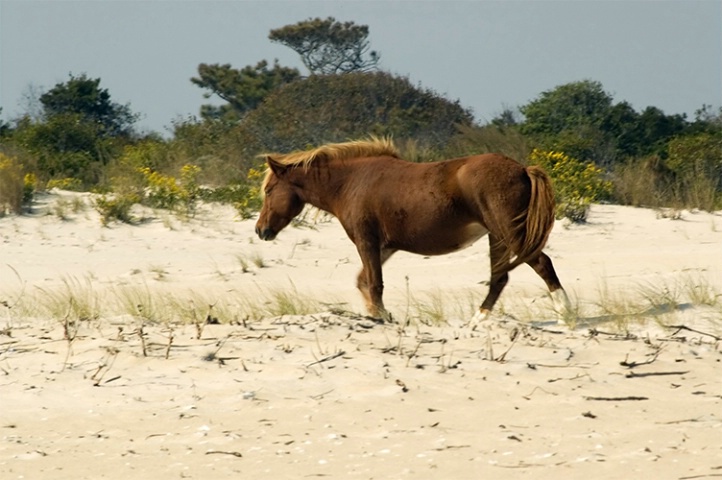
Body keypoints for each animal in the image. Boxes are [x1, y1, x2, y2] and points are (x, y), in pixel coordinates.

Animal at [253, 138, 568, 322]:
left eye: (268, 191)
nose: (260, 230)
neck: (351, 182)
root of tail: (522, 169)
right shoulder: (386, 246)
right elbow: (363, 282)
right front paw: (380, 314)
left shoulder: (367, 242)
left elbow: (374, 284)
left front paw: (381, 317)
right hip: (497, 236)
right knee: (499, 277)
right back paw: (476, 322)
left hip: (508, 233)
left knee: (541, 264)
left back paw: (566, 315)